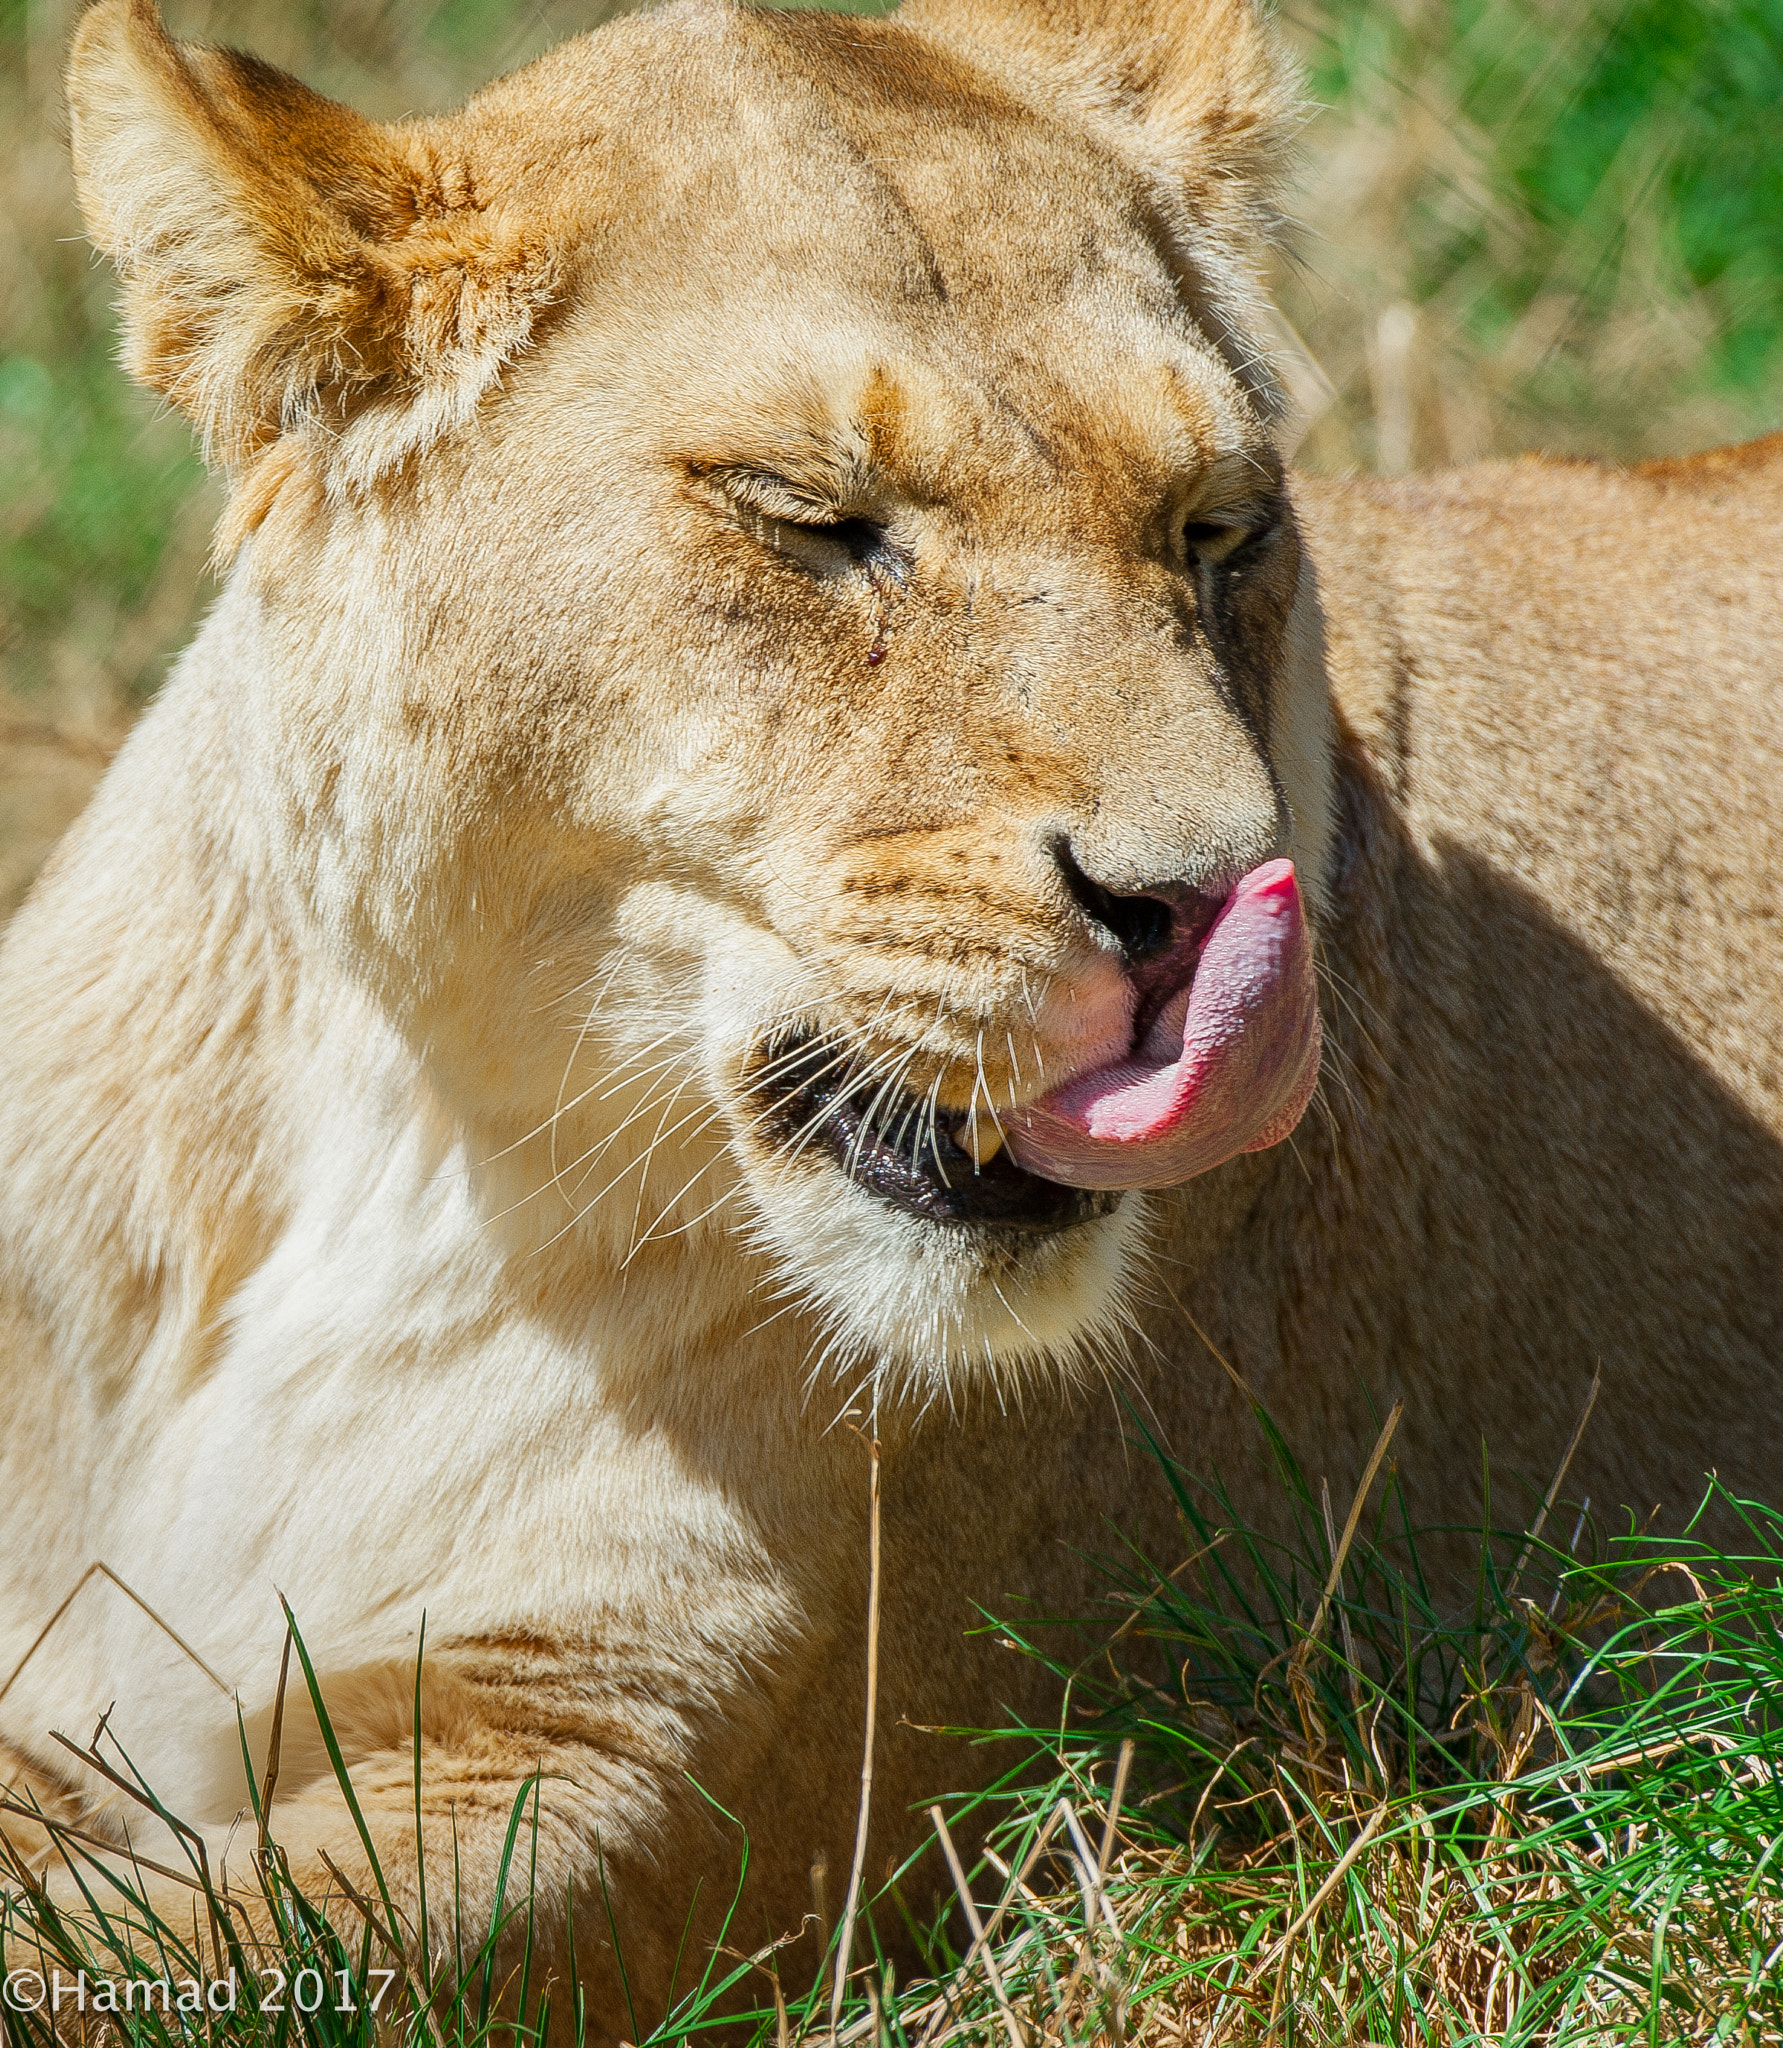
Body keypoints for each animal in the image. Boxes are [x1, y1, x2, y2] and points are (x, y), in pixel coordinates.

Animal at [4, 0, 1782, 2028]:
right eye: (815, 522)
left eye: (1214, 529)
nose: (1212, 905)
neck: (402, 1141)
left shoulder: (606, 1777)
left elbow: (131, 1955)